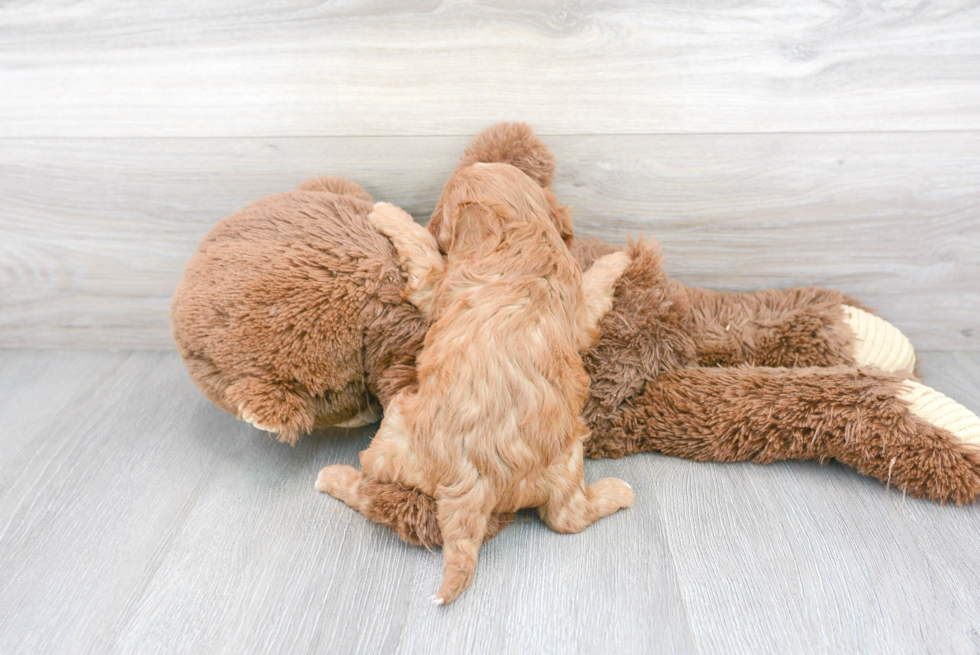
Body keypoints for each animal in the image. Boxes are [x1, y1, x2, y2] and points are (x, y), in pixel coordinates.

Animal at [316, 163, 636, 604]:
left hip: (394, 429)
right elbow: (594, 292)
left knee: (369, 486)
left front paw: (387, 214)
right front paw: (617, 259)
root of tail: (474, 485)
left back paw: (332, 476)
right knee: (566, 516)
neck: (524, 239)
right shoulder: (581, 313)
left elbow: (420, 249)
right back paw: (617, 492)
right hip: (568, 456)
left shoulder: (437, 285)